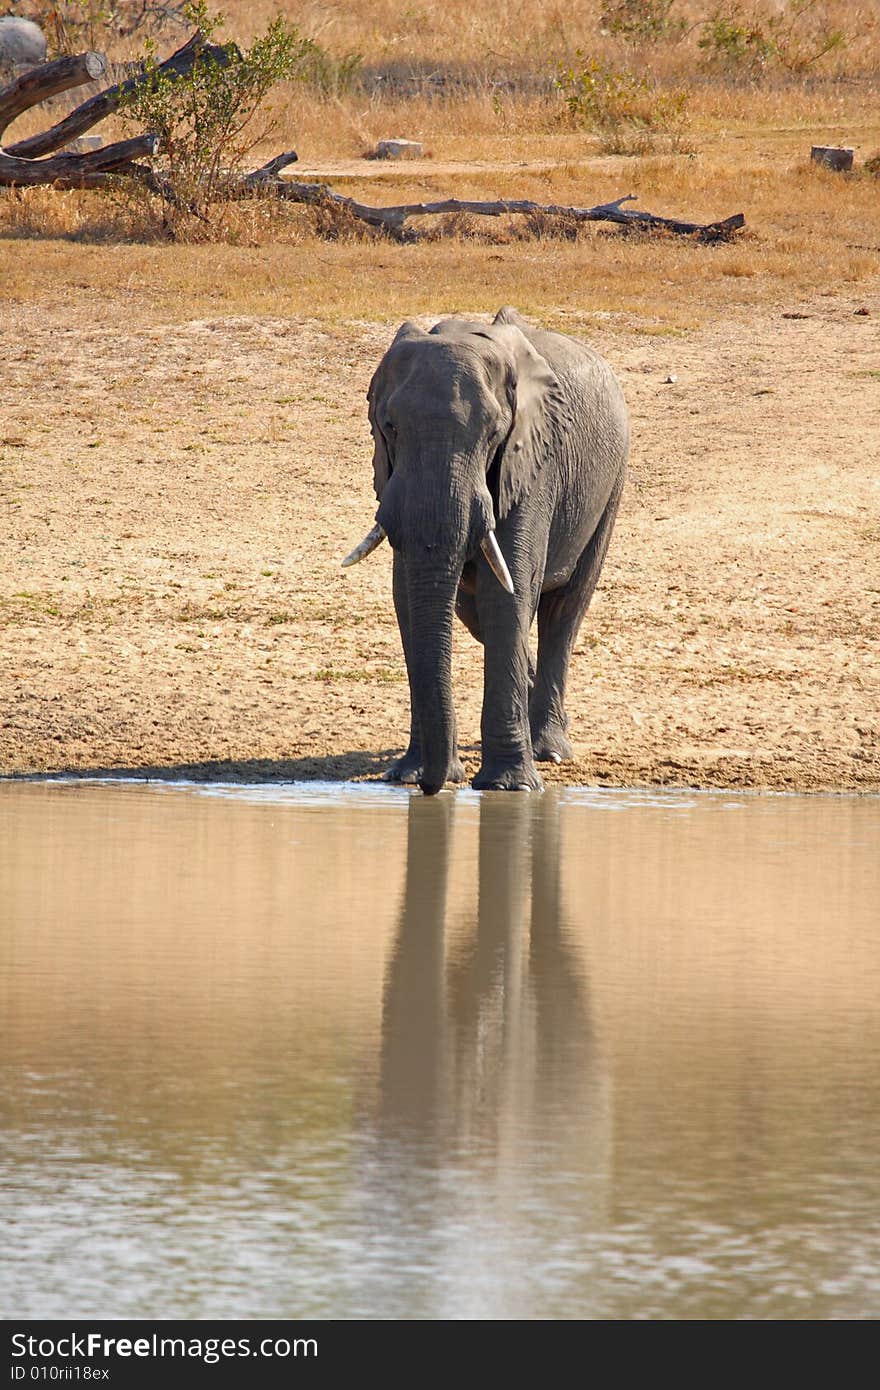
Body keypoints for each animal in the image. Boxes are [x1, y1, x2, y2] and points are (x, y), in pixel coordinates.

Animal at [341, 309, 625, 800]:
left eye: (494, 434)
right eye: (389, 427)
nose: (430, 789)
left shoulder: (532, 464)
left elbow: (506, 595)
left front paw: (508, 787)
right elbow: (408, 599)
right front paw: (410, 775)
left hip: (612, 485)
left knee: (565, 610)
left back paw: (549, 749)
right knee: (478, 615)